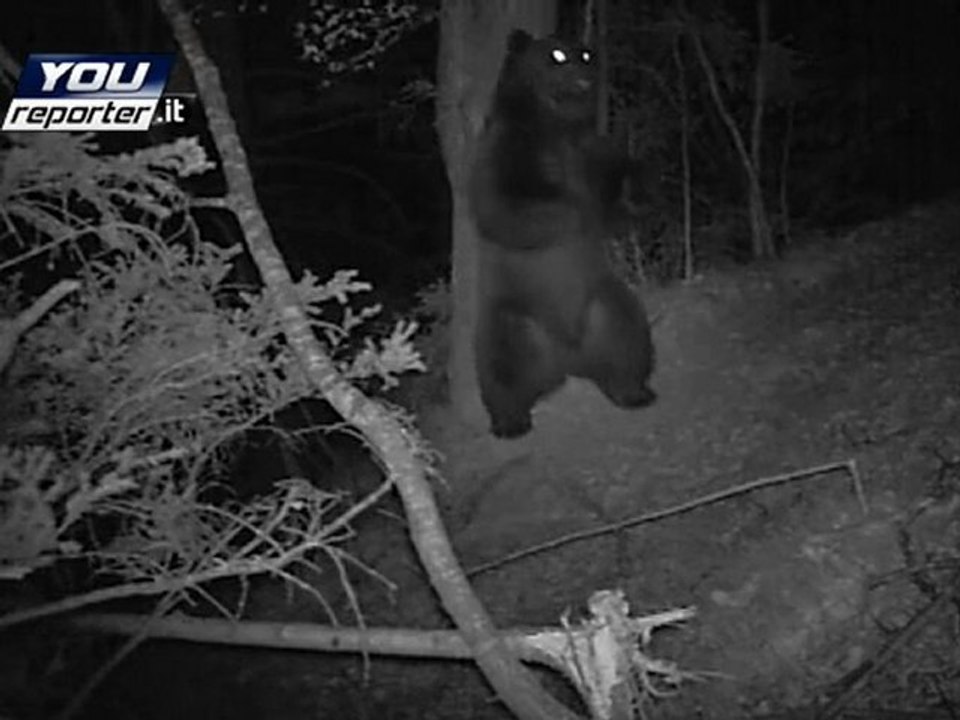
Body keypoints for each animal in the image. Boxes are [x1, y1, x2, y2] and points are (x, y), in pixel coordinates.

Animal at [469, 28, 657, 439]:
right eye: (556, 54)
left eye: (585, 54)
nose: (584, 70)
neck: (555, 121)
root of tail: (567, 359)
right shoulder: (509, 148)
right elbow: (505, 205)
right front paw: (578, 210)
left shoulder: (590, 147)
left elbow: (614, 173)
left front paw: (635, 193)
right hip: (511, 316)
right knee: (500, 365)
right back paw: (509, 421)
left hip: (605, 300)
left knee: (629, 336)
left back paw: (633, 391)